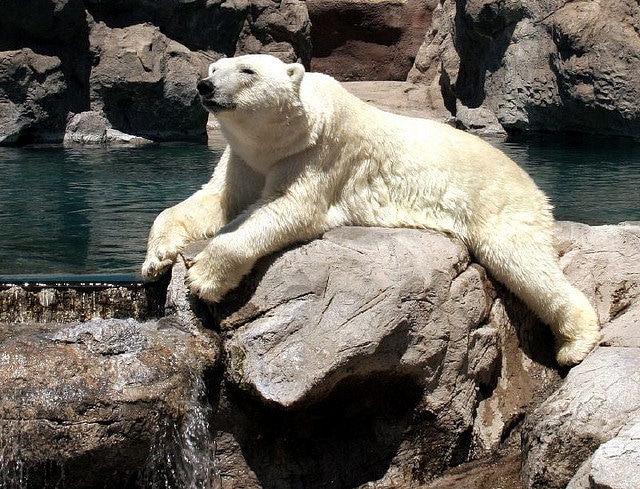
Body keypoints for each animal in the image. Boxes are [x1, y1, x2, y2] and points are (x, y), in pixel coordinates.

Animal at [142, 54, 601, 366]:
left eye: (247, 71)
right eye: (216, 66)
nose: (204, 85)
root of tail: (533, 184)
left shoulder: (319, 152)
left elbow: (290, 209)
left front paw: (205, 276)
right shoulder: (244, 159)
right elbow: (213, 200)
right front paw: (156, 258)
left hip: (499, 204)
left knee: (523, 263)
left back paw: (575, 343)